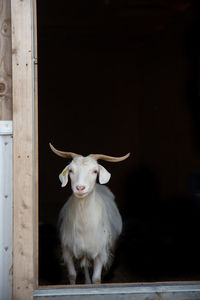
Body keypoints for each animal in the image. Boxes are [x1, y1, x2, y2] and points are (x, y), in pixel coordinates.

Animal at [49, 144, 129, 284]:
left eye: (95, 171)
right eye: (70, 170)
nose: (80, 188)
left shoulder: (101, 253)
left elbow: (96, 279)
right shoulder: (67, 250)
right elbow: (72, 275)